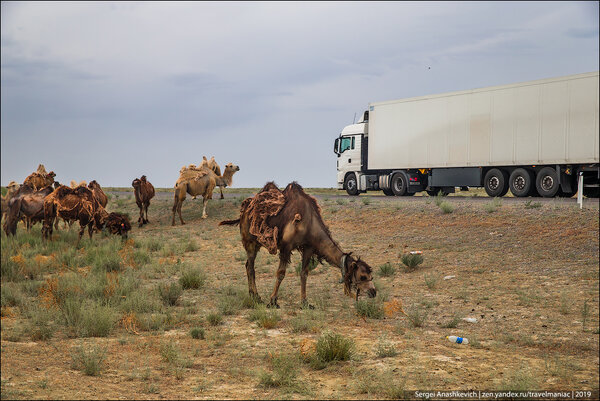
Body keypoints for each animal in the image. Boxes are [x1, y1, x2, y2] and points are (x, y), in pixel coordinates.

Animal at [220, 180, 378, 308]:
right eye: (362, 276)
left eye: (371, 274)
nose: (373, 292)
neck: (310, 225)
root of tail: (244, 210)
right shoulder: (286, 246)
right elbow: (281, 273)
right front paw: (273, 301)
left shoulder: (308, 247)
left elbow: (304, 274)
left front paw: (305, 303)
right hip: (250, 241)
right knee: (251, 266)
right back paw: (257, 297)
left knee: (248, 265)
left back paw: (253, 295)